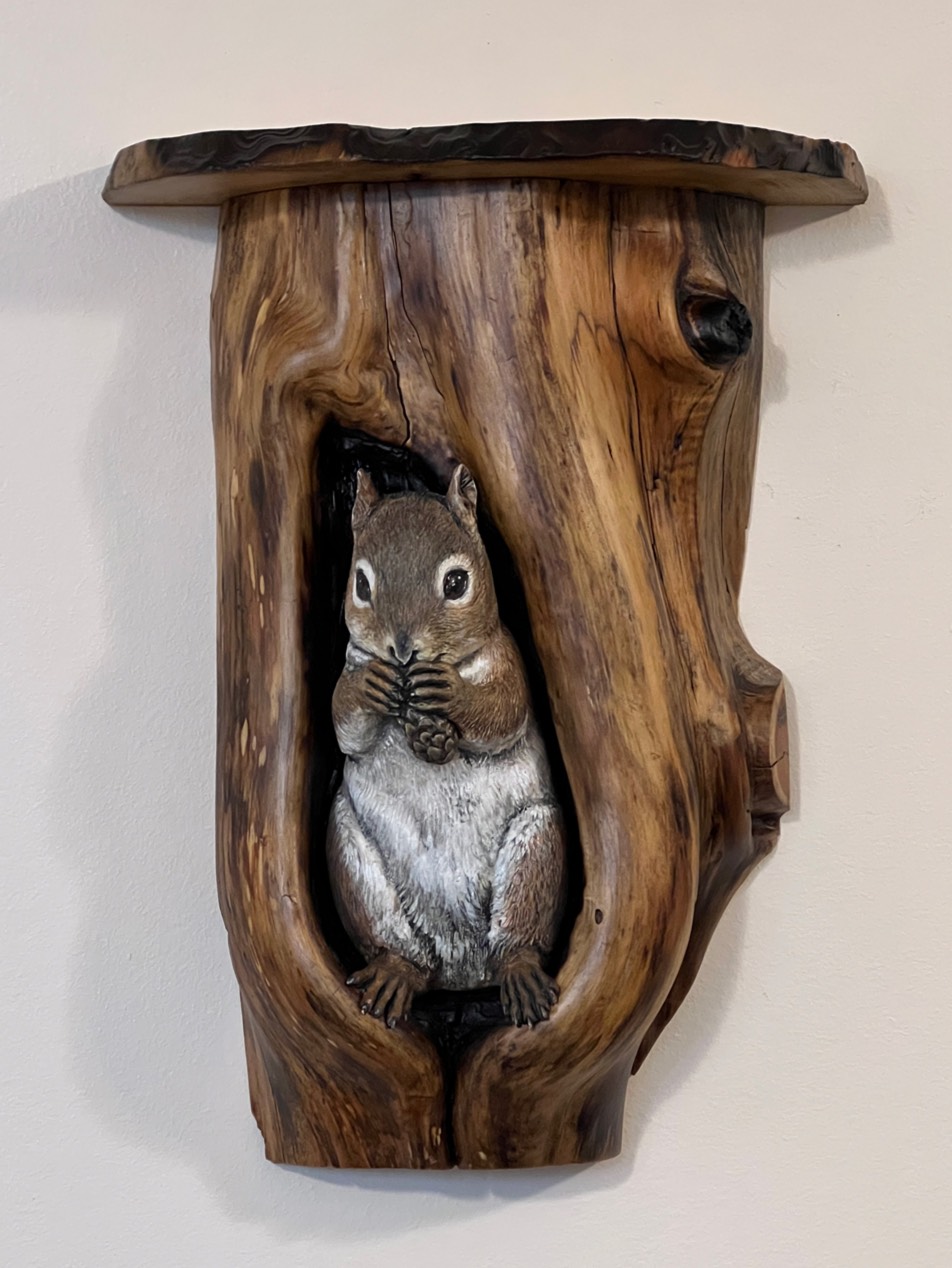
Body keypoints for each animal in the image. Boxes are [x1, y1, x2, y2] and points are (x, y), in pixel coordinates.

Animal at [326, 463, 566, 1029]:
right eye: (360, 583)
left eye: (456, 582)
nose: (402, 648)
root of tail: (461, 975)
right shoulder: (349, 671)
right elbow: (343, 718)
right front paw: (370, 687)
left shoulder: (508, 660)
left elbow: (502, 710)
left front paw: (451, 698)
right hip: (355, 866)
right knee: (399, 948)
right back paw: (396, 974)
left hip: (535, 850)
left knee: (518, 938)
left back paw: (520, 972)